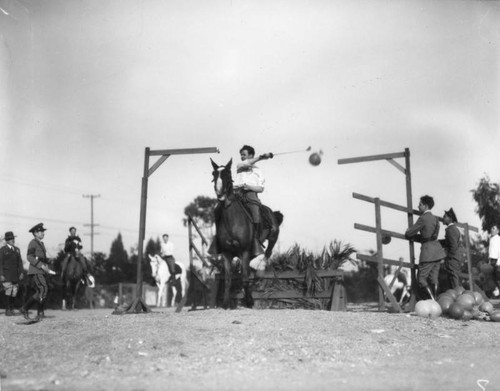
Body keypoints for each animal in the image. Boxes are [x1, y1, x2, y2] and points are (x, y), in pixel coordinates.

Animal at [210, 158, 282, 310]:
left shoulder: (244, 250)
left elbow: (244, 277)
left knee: (268, 253)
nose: (220, 195)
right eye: (214, 174)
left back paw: (260, 269)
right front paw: (226, 303)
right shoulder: (226, 253)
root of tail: (272, 213)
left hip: (273, 237)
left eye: (227, 174)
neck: (231, 220)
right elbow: (228, 279)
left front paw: (249, 301)